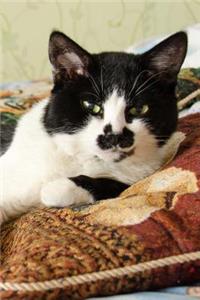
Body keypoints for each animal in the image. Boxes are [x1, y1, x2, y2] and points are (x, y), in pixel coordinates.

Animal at [0, 30, 188, 224]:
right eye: (91, 106)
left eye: (139, 109)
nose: (114, 136)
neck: (83, 159)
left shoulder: (137, 175)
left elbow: (115, 185)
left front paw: (58, 187)